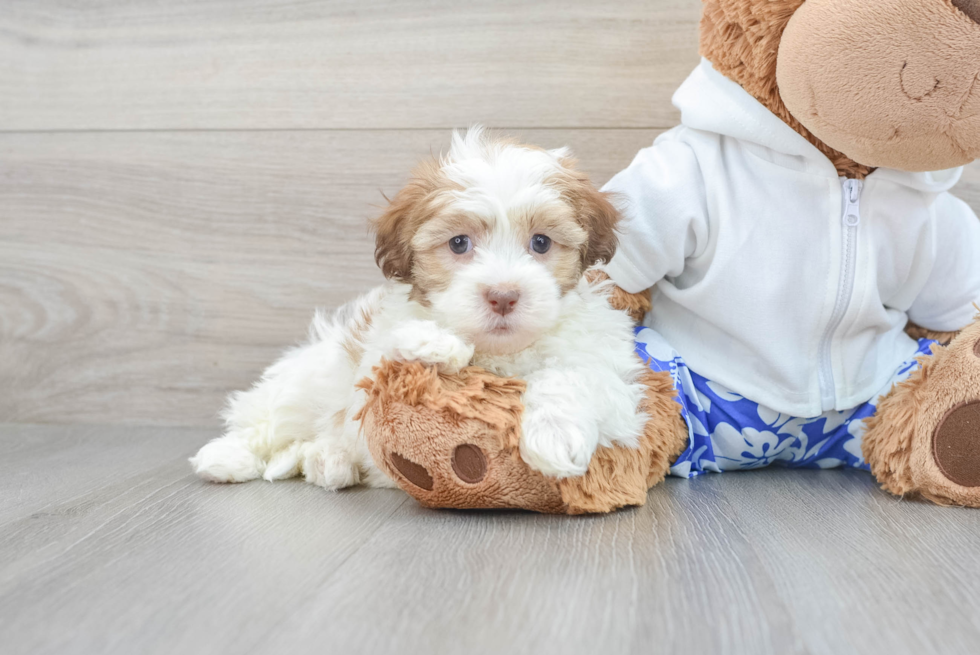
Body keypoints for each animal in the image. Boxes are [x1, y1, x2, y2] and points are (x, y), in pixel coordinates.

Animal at [191, 125, 652, 490]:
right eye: (459, 243)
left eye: (541, 242)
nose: (503, 295)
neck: (501, 354)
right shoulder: (370, 363)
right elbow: (391, 348)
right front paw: (436, 342)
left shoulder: (616, 384)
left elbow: (573, 374)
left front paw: (555, 436)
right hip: (310, 380)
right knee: (269, 417)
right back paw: (228, 457)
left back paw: (329, 462)